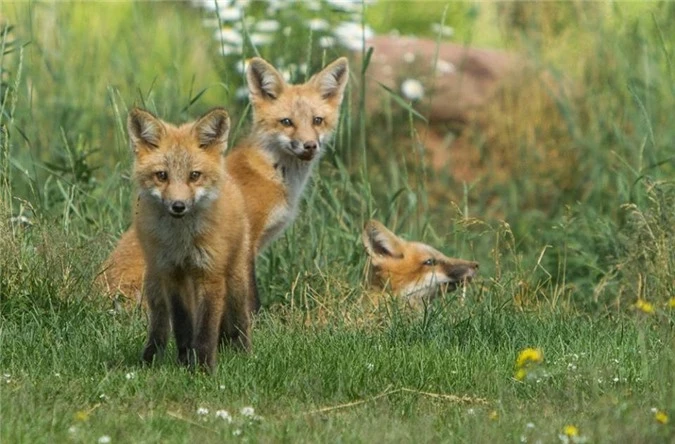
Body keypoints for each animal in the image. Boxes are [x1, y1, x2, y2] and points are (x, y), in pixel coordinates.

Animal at [101, 56, 354, 308]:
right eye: (286, 122)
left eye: (317, 121)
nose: (310, 146)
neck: (272, 176)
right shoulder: (245, 242)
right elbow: (249, 294)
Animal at [127, 107, 256, 372]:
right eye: (162, 176)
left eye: (194, 175)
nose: (178, 206)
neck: (182, 242)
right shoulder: (172, 274)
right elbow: (183, 324)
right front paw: (185, 361)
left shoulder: (210, 274)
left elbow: (206, 328)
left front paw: (203, 368)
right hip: (154, 282)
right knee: (159, 326)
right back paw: (150, 359)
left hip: (235, 278)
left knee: (240, 320)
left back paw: (244, 354)